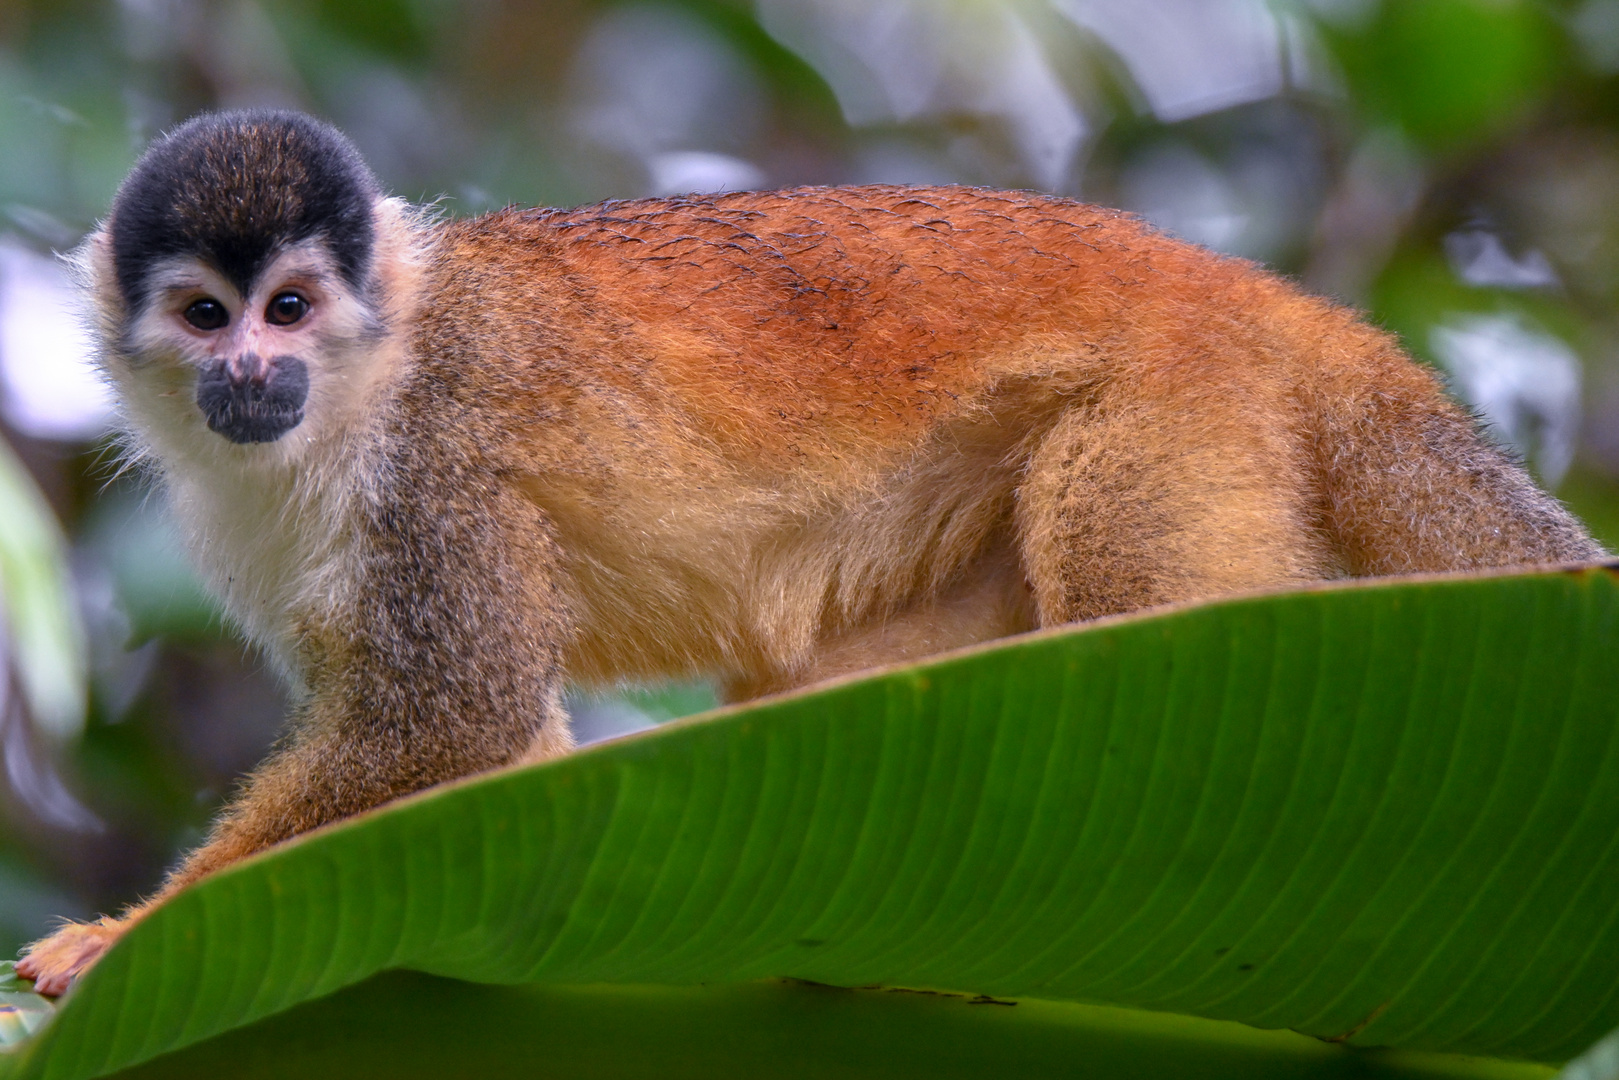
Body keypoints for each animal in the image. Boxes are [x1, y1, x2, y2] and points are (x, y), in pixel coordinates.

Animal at [15, 111, 1606, 997]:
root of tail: (1269, 303)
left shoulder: (432, 462)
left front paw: (133, 935)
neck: (361, 387)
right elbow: (493, 747)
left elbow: (450, 712)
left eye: (289, 307)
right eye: (209, 318)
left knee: (1145, 614)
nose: (251, 376)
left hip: (1171, 410)